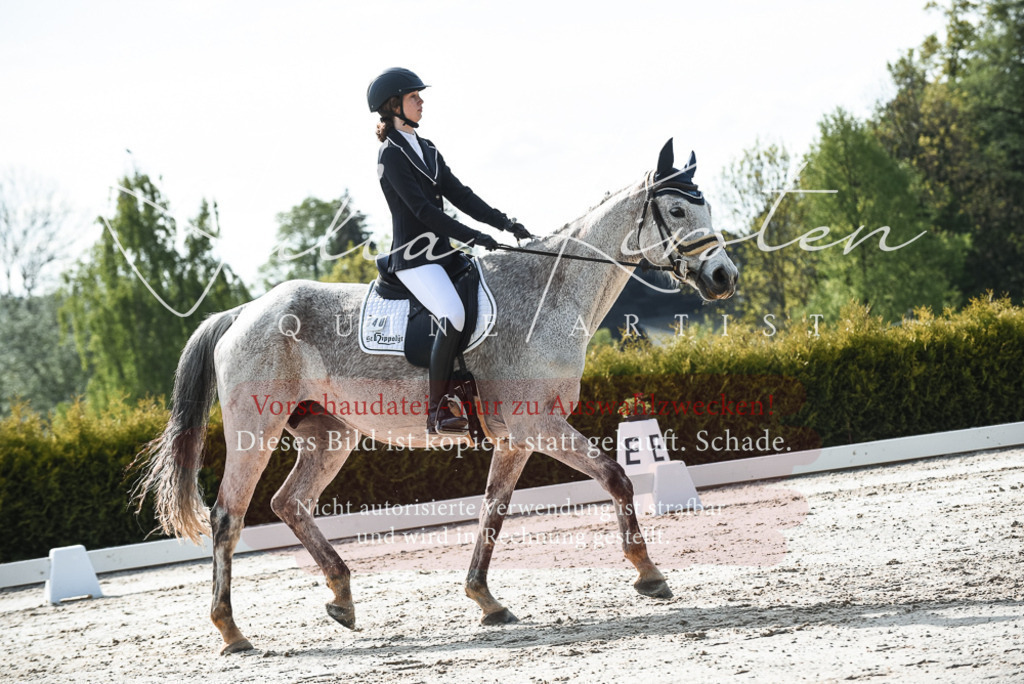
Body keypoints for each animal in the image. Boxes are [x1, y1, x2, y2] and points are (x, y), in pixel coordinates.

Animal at [133, 139, 738, 654]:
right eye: (677, 211)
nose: (723, 276)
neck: (550, 294)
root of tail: (241, 313)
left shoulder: (516, 438)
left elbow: (493, 509)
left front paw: (485, 600)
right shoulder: (536, 425)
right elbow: (614, 475)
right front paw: (648, 573)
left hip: (329, 433)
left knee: (290, 503)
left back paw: (342, 597)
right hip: (254, 430)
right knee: (228, 516)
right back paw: (232, 631)